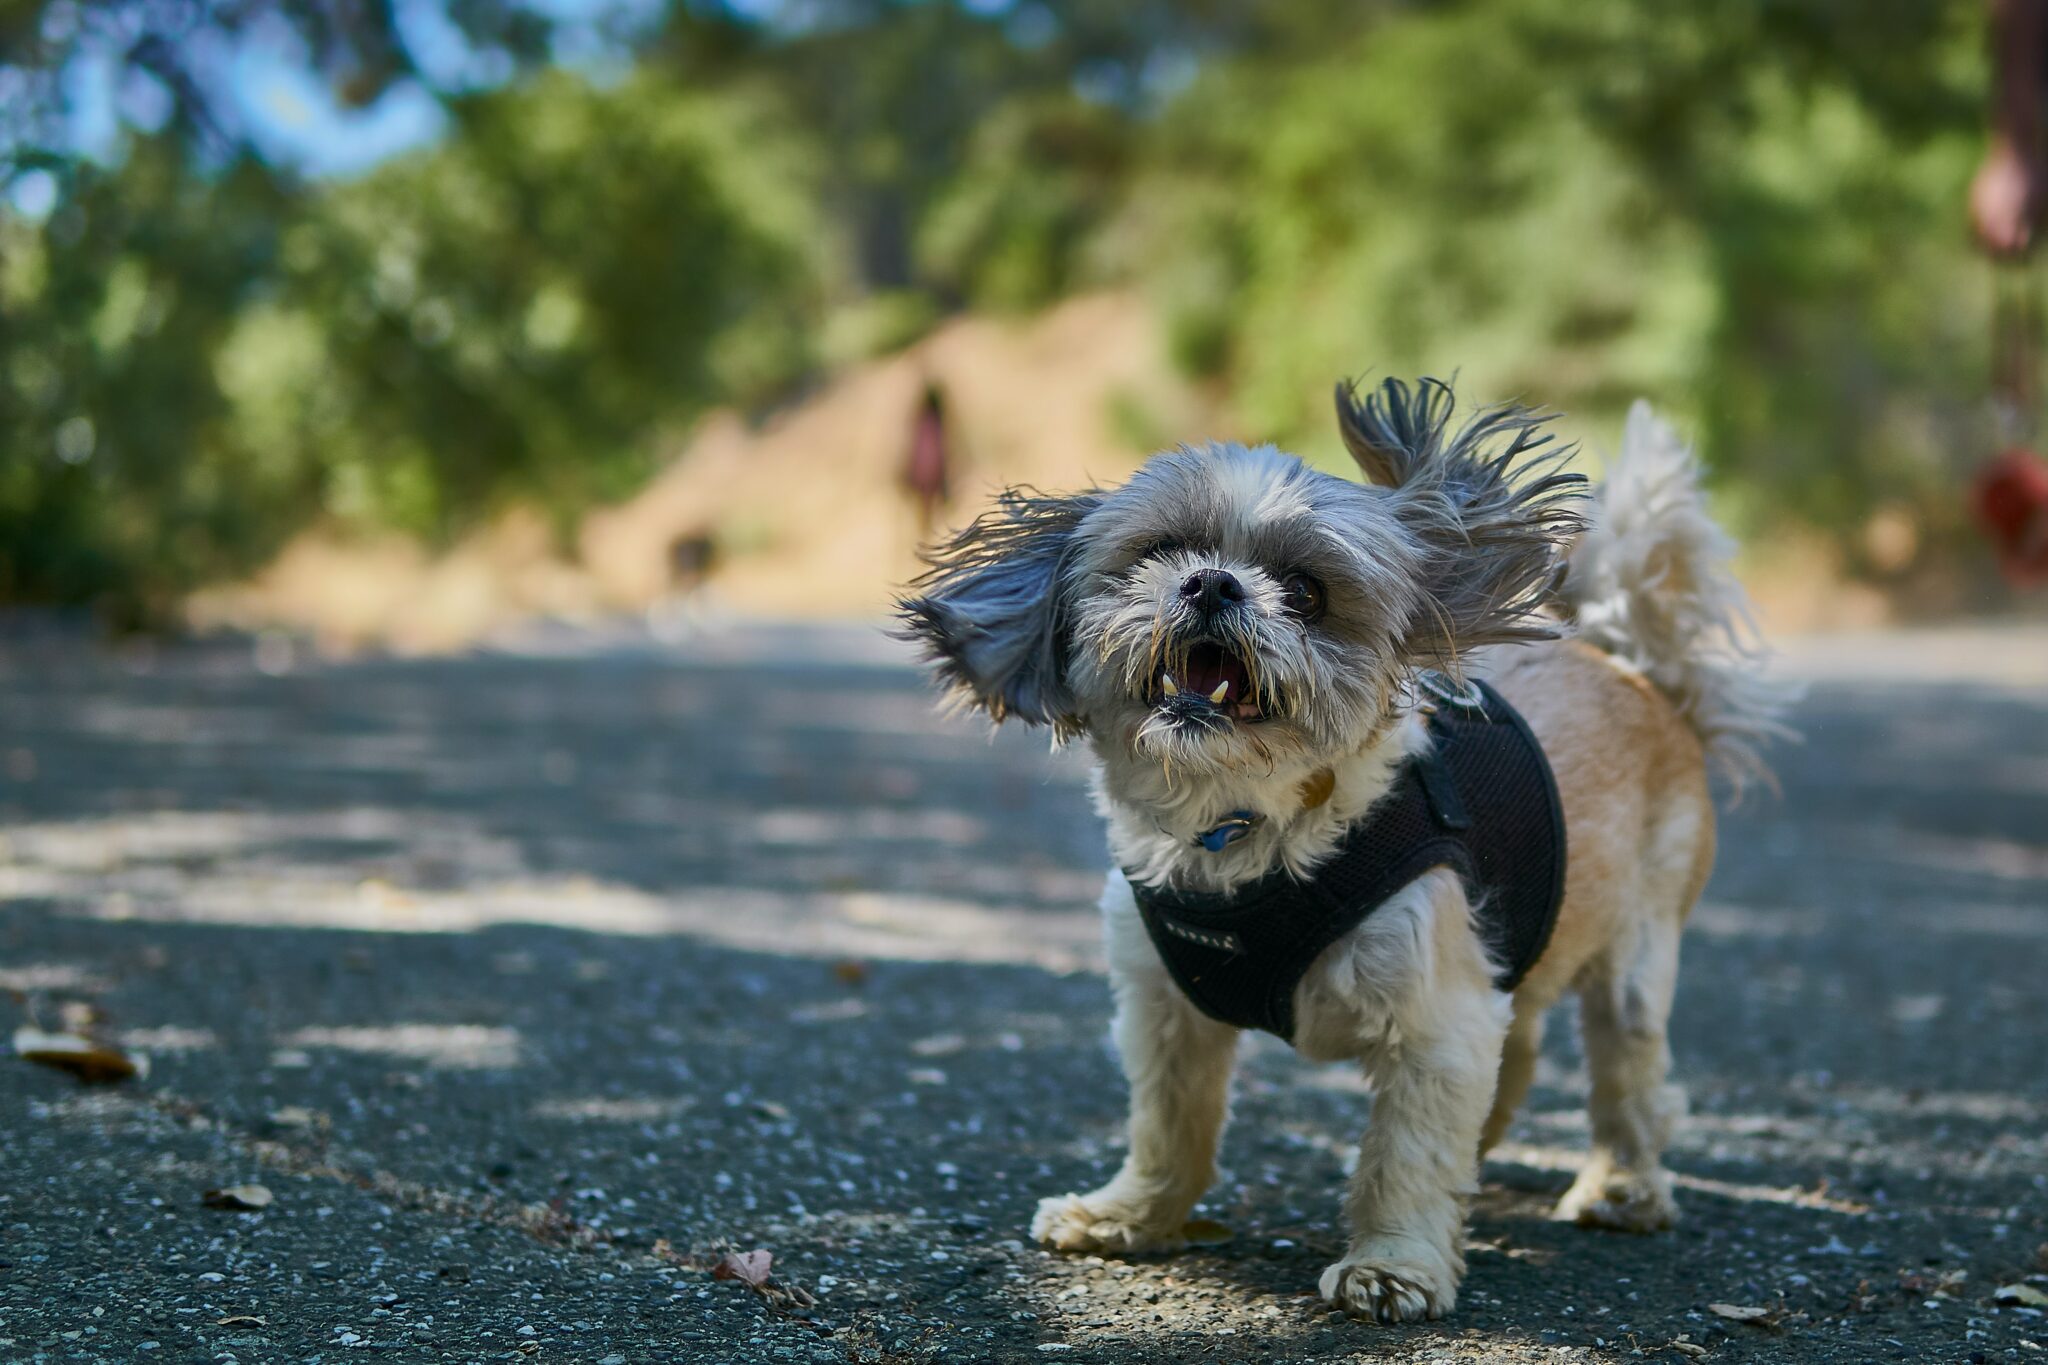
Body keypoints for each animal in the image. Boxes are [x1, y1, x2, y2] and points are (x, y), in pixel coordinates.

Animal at [897, 378, 1794, 1317]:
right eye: (1164, 550)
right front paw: (1131, 1215)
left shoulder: (1436, 1019)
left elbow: (1406, 1154)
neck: (1245, 830)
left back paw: (1624, 1188)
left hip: (1634, 959)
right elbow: (1169, 1124)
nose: (1211, 582)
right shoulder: (1165, 1009)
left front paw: (1392, 1265)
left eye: (1305, 591)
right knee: (1521, 1051)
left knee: (1628, 1079)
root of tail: (1637, 673)